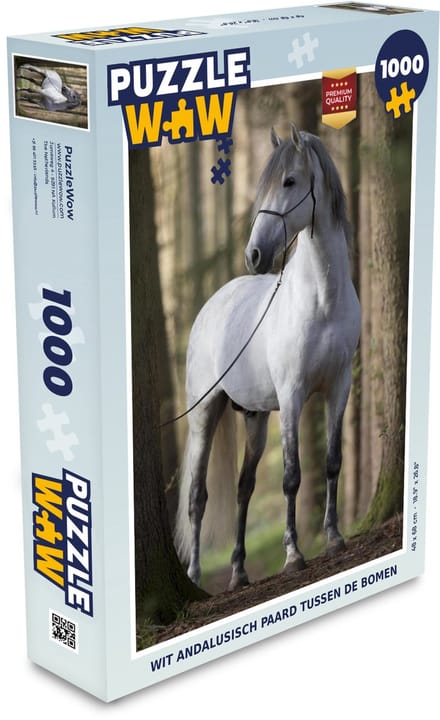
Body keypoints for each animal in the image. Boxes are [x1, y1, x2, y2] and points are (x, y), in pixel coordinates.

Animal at [175, 123, 361, 591]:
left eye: (289, 181)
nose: (254, 255)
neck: (322, 301)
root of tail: (210, 307)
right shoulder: (292, 397)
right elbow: (292, 476)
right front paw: (294, 555)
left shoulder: (339, 387)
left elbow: (332, 462)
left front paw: (334, 538)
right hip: (205, 414)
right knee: (197, 497)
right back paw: (196, 575)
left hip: (254, 417)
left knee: (244, 487)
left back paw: (239, 572)